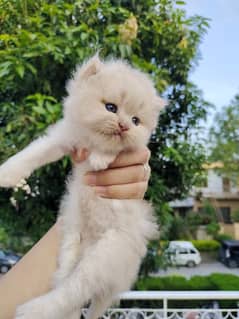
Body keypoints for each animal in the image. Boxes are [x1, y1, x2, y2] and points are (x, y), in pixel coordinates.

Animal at [0, 55, 163, 319]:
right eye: (111, 108)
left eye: (136, 120)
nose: (124, 126)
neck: (91, 141)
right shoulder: (64, 139)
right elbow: (33, 153)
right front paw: (5, 174)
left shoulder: (128, 153)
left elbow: (113, 151)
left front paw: (100, 158)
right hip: (72, 236)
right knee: (66, 283)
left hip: (102, 256)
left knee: (73, 291)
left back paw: (33, 309)